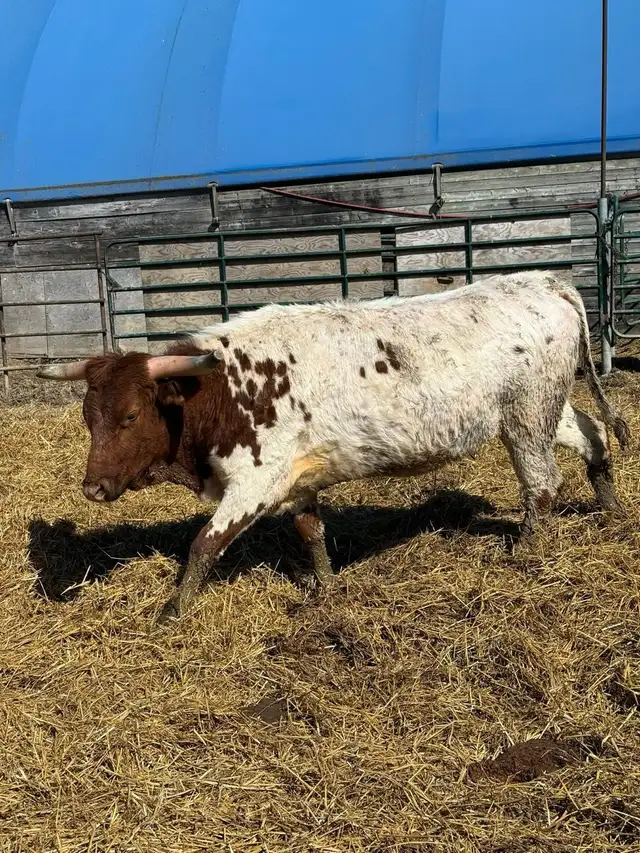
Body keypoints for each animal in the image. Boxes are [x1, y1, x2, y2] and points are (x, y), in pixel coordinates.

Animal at [38, 271, 629, 626]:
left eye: (131, 416)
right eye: (88, 417)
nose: (94, 488)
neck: (221, 390)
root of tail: (542, 281)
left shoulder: (257, 480)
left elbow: (204, 544)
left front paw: (173, 610)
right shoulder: (298, 478)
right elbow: (311, 532)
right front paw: (324, 588)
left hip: (527, 416)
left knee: (542, 483)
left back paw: (527, 548)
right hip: (538, 411)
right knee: (593, 435)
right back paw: (611, 507)